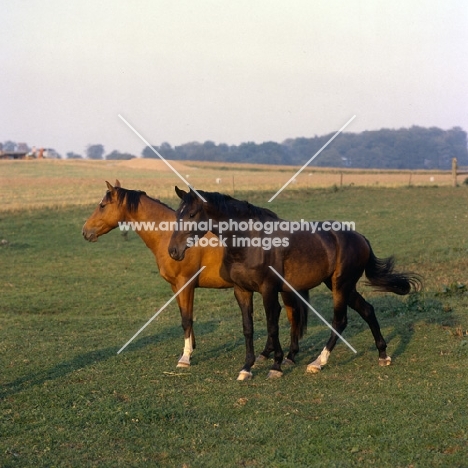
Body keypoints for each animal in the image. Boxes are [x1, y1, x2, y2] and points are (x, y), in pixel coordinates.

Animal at [81, 181, 308, 368]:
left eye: (102, 206)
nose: (85, 231)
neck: (168, 236)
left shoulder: (186, 284)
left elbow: (187, 319)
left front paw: (185, 357)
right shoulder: (175, 286)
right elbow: (184, 317)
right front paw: (191, 348)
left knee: (291, 315)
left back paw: (288, 356)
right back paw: (266, 353)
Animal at [167, 186, 420, 380]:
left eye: (192, 214)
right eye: (178, 215)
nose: (173, 251)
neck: (249, 242)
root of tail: (360, 238)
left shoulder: (268, 290)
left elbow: (272, 326)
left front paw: (276, 366)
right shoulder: (242, 291)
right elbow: (248, 329)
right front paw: (247, 368)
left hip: (340, 286)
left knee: (340, 320)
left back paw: (318, 362)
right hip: (342, 286)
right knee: (367, 310)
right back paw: (383, 355)